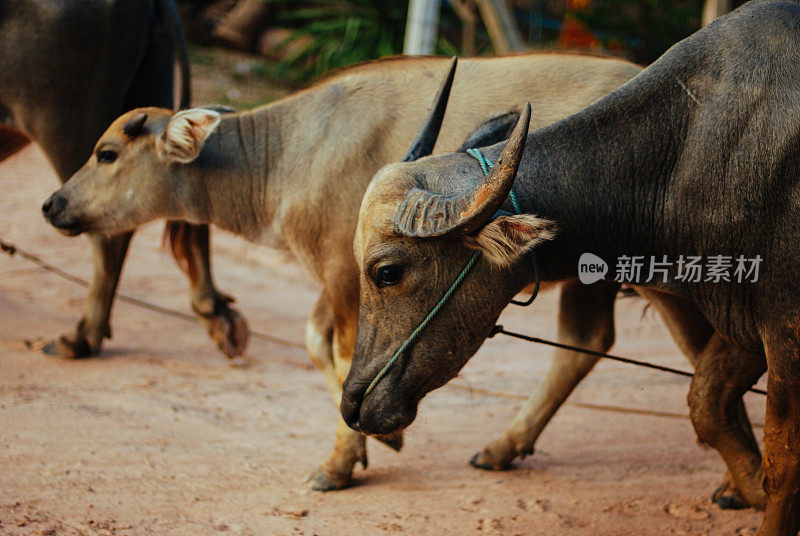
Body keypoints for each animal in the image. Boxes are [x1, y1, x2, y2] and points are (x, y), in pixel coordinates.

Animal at [344, 1, 800, 532]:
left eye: (387, 272)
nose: (352, 405)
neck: (685, 153)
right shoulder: (740, 315)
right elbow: (705, 401)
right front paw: (747, 487)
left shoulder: (785, 328)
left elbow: (783, 462)